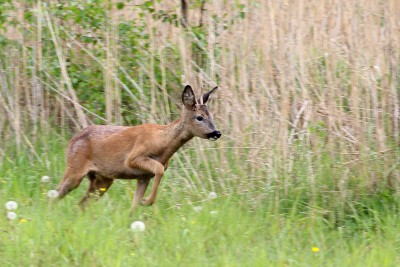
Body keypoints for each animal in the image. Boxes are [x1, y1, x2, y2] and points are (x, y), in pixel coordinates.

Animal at [54, 85, 220, 211]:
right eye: (199, 117)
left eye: (211, 116)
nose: (216, 132)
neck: (163, 144)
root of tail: (72, 141)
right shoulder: (133, 157)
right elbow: (159, 169)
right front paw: (147, 201)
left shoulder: (144, 176)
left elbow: (133, 206)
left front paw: (139, 208)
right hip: (75, 168)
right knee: (55, 194)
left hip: (102, 179)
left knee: (81, 203)